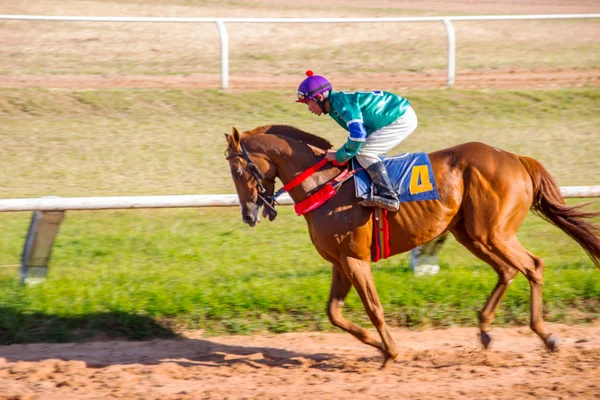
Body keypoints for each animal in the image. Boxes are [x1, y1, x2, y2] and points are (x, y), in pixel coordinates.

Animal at [225, 123, 600, 368]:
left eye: (237, 169)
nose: (248, 214)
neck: (325, 184)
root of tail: (516, 158)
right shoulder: (340, 261)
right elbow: (334, 313)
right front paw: (376, 344)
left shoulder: (354, 259)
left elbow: (373, 308)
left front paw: (389, 352)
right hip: (472, 234)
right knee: (508, 270)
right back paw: (485, 331)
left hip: (494, 232)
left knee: (532, 266)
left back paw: (545, 335)